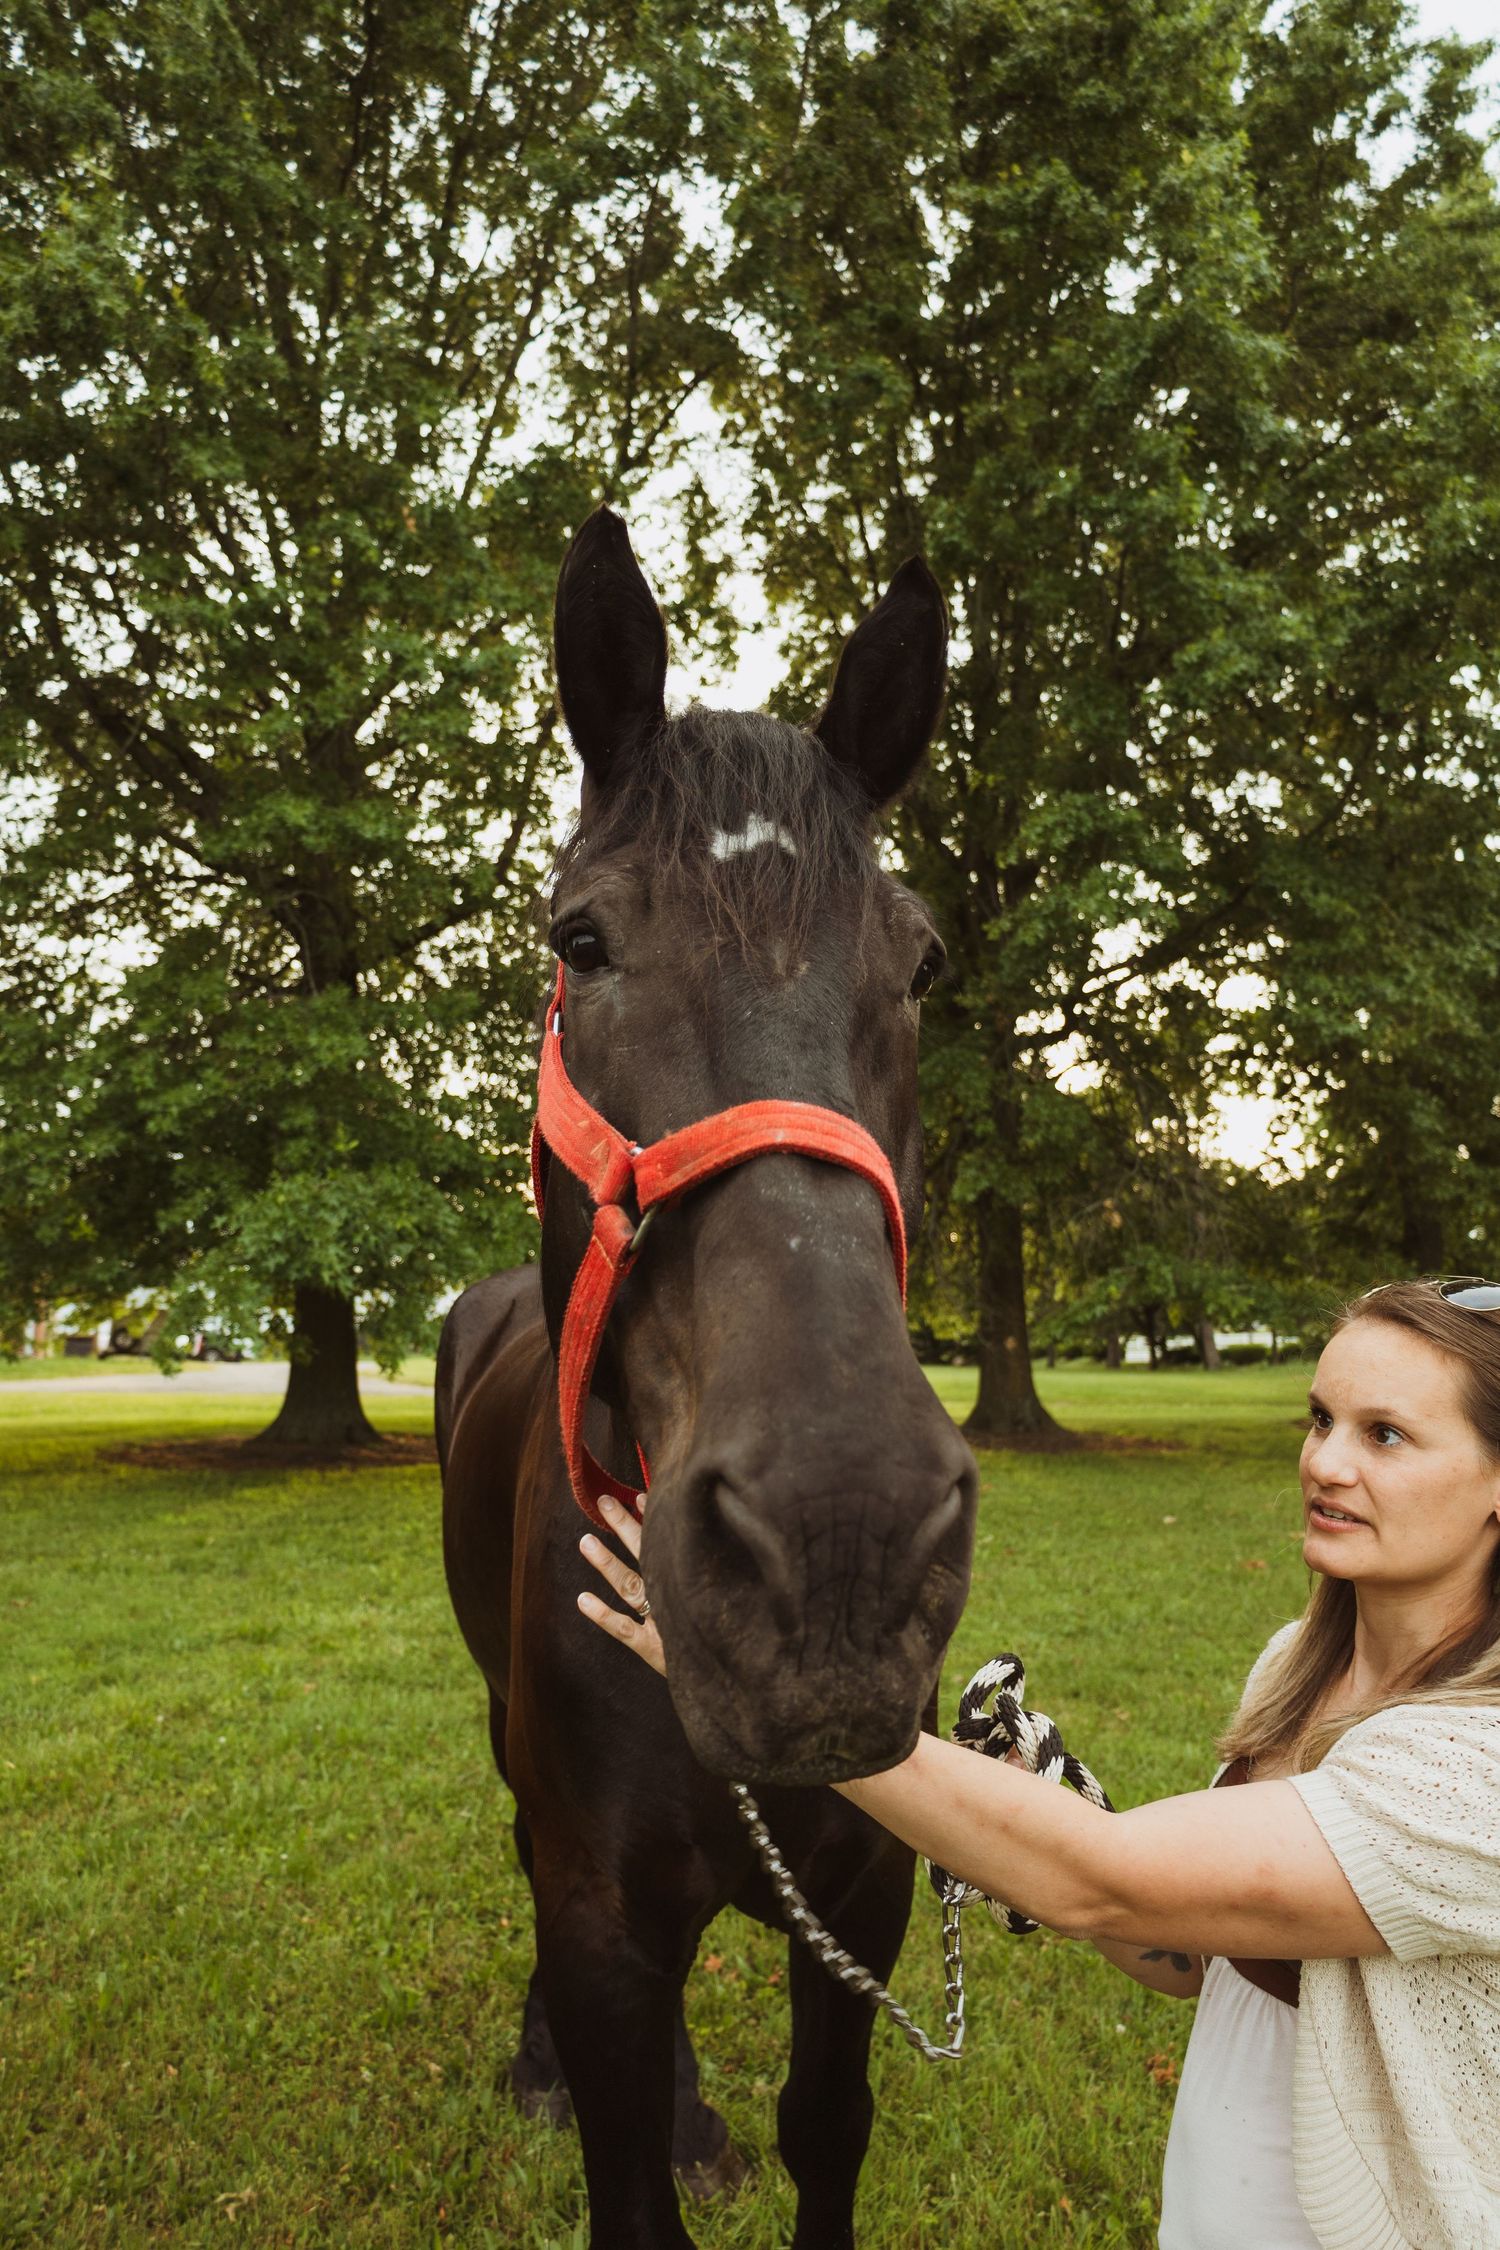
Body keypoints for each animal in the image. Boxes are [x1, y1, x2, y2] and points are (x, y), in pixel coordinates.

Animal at [438, 506, 979, 2249]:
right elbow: (628, 2184)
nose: (839, 1538)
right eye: (580, 939)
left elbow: (828, 2128)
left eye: (923, 964)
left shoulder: (869, 1882)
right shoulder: (601, 1908)